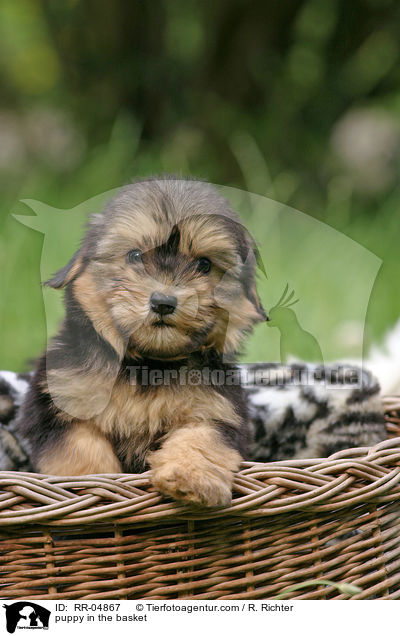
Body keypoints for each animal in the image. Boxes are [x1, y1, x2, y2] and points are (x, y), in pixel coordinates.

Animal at [16, 178, 266, 506]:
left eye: (203, 264)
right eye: (134, 256)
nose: (163, 302)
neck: (148, 363)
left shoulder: (217, 407)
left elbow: (202, 437)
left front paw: (189, 478)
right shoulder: (56, 402)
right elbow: (80, 448)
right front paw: (92, 484)